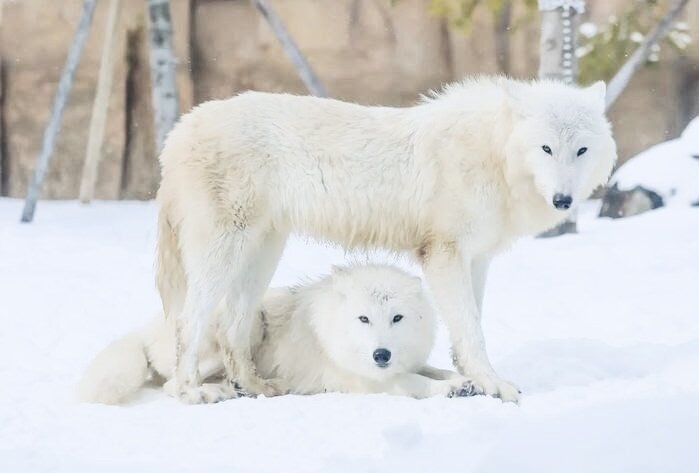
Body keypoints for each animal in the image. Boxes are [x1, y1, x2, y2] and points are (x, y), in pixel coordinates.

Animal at [79, 264, 478, 404]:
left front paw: (464, 382)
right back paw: (217, 393)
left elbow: (434, 370)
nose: (382, 355)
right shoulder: (368, 381)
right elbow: (418, 383)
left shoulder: (407, 362)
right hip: (248, 322)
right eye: (363, 319)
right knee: (174, 385)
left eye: (397, 318)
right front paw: (451, 389)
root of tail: (145, 328)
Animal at [154, 75, 616, 400]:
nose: (563, 199)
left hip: (261, 255)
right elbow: (472, 329)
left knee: (231, 328)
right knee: (186, 322)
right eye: (545, 148)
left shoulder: (477, 258)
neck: (492, 155)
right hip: (221, 255)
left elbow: (470, 328)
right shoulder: (444, 254)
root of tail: (179, 129)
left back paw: (256, 387)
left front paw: (470, 379)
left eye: (581, 150)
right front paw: (491, 385)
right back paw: (192, 392)